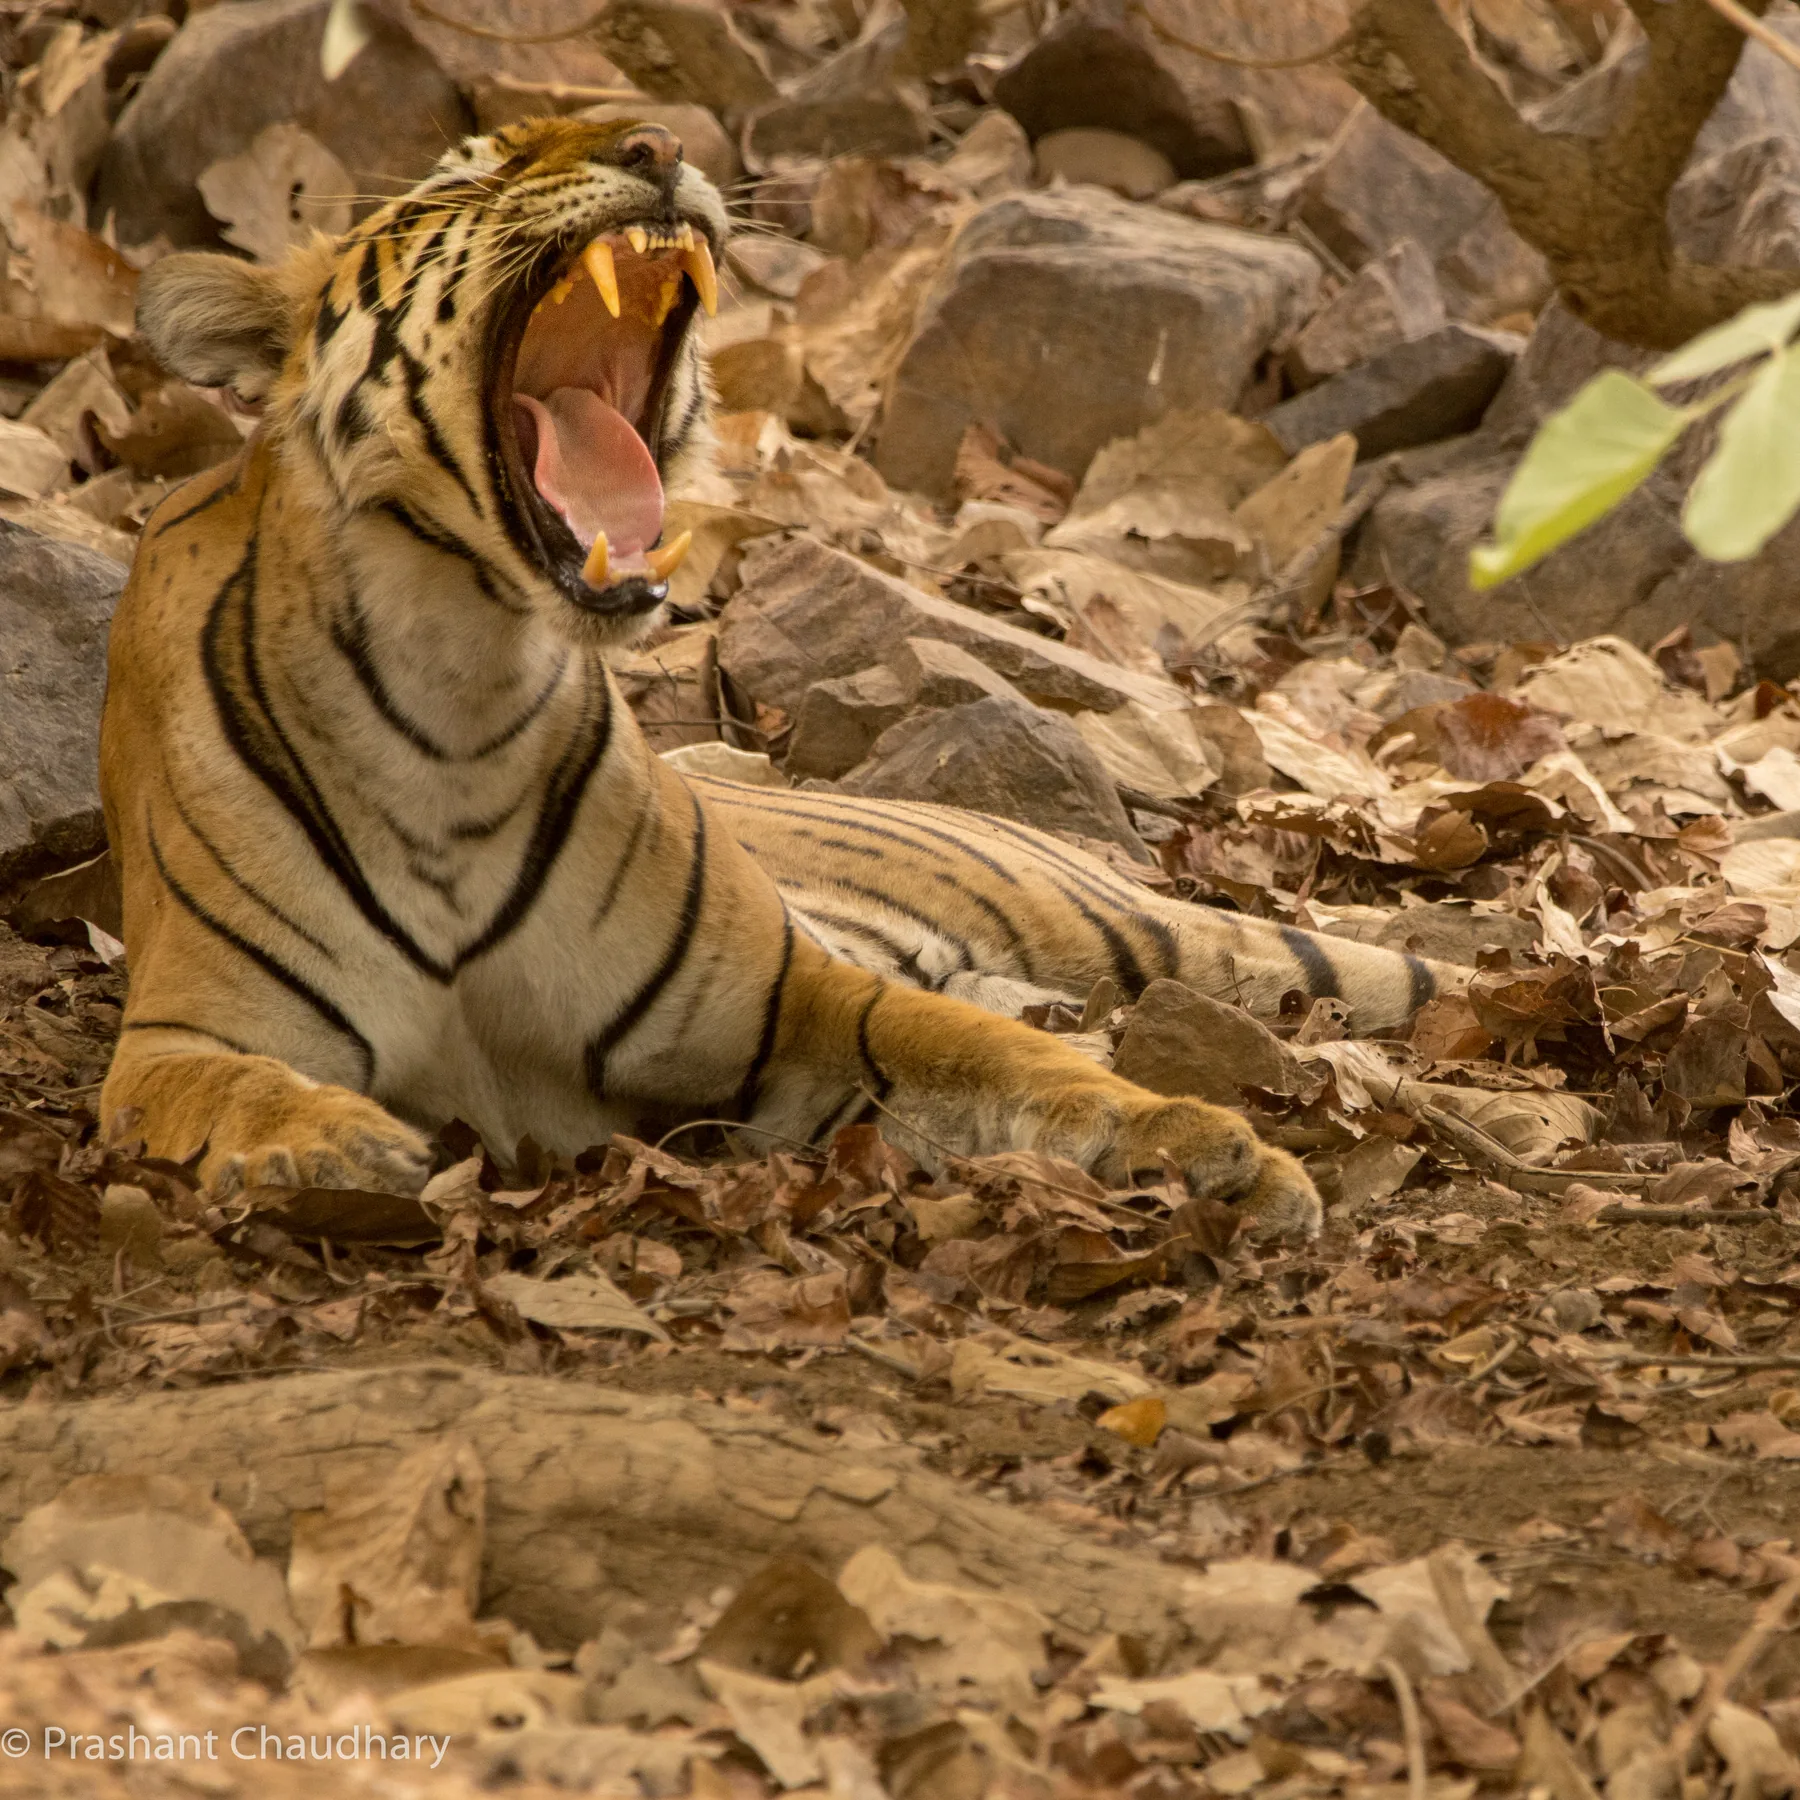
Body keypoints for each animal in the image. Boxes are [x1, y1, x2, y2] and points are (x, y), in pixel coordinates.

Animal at [98, 115, 1461, 1243]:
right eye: (471, 173)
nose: (659, 140)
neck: (461, 682)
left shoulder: (799, 1000)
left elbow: (1008, 1063)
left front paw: (1211, 1150)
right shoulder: (182, 1029)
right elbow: (227, 1088)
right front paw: (334, 1144)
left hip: (1171, 936)